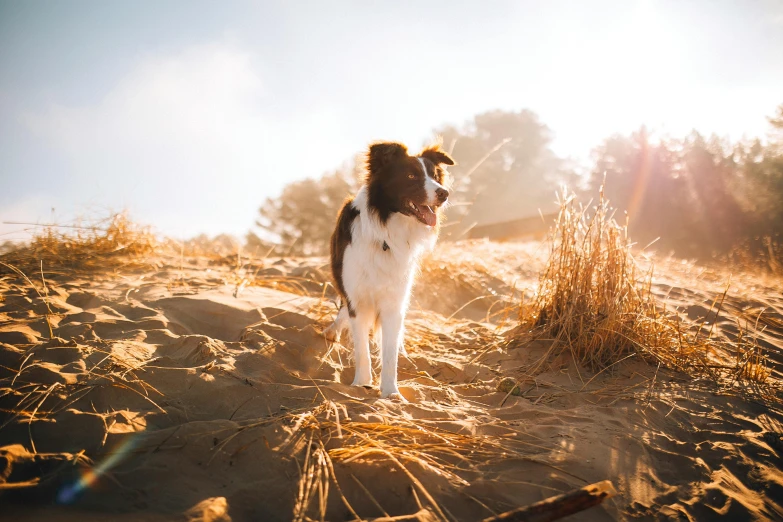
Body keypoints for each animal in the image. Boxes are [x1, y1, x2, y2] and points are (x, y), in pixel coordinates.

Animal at [324, 141, 456, 398]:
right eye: (411, 176)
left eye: (435, 176)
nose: (444, 193)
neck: (387, 232)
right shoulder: (358, 298)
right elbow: (361, 348)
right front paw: (362, 383)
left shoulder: (395, 301)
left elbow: (389, 352)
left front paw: (390, 392)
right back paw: (332, 331)